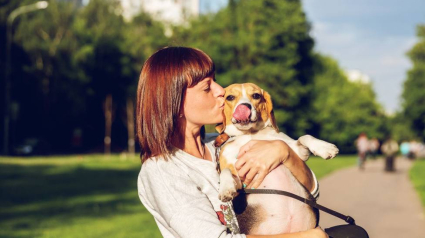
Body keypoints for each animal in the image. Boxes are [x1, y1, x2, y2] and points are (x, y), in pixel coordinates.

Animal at [215, 83, 338, 234]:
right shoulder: (239, 181)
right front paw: (226, 189)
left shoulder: (298, 151)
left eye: (256, 95)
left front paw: (325, 147)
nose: (245, 106)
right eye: (230, 97)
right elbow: (225, 172)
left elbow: (305, 137)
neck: (250, 134)